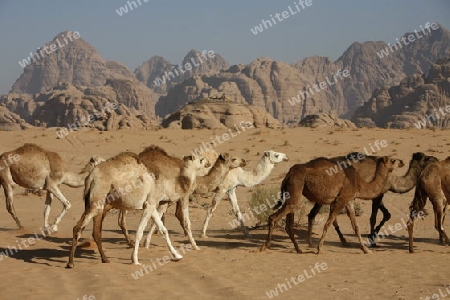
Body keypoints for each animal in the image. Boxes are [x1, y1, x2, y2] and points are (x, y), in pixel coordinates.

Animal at [66, 152, 207, 268]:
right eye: (200, 159)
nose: (207, 161)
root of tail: (91, 176)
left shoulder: (152, 205)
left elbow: (163, 230)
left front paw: (177, 256)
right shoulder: (150, 204)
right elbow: (140, 231)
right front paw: (135, 260)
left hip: (95, 202)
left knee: (95, 231)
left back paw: (104, 259)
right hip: (97, 200)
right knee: (78, 228)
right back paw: (71, 263)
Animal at [260, 156, 400, 254]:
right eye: (393, 160)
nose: (402, 162)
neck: (359, 183)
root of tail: (288, 174)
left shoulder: (348, 201)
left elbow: (356, 227)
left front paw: (366, 249)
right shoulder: (340, 200)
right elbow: (328, 223)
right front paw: (320, 249)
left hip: (292, 195)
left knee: (288, 224)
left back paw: (299, 250)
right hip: (295, 191)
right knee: (273, 217)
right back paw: (265, 246)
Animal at [302, 152, 436, 246]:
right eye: (426, 158)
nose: (435, 159)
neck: (392, 180)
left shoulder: (379, 194)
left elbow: (387, 214)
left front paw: (374, 235)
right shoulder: (378, 195)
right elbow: (373, 218)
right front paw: (373, 240)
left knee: (314, 214)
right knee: (318, 214)